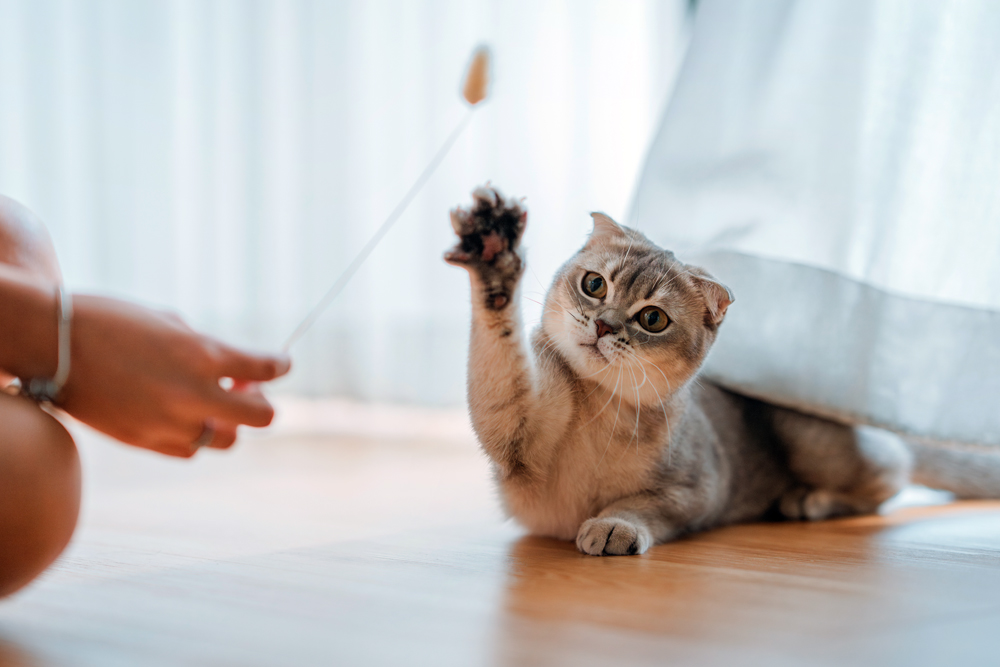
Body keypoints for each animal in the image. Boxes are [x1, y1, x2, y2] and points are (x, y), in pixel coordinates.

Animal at [446, 185, 1000, 556]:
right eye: (594, 285)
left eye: (652, 318)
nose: (604, 325)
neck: (601, 407)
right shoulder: (514, 428)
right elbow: (500, 356)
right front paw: (493, 259)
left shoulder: (698, 491)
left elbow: (645, 506)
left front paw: (613, 524)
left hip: (814, 442)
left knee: (891, 480)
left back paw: (810, 501)